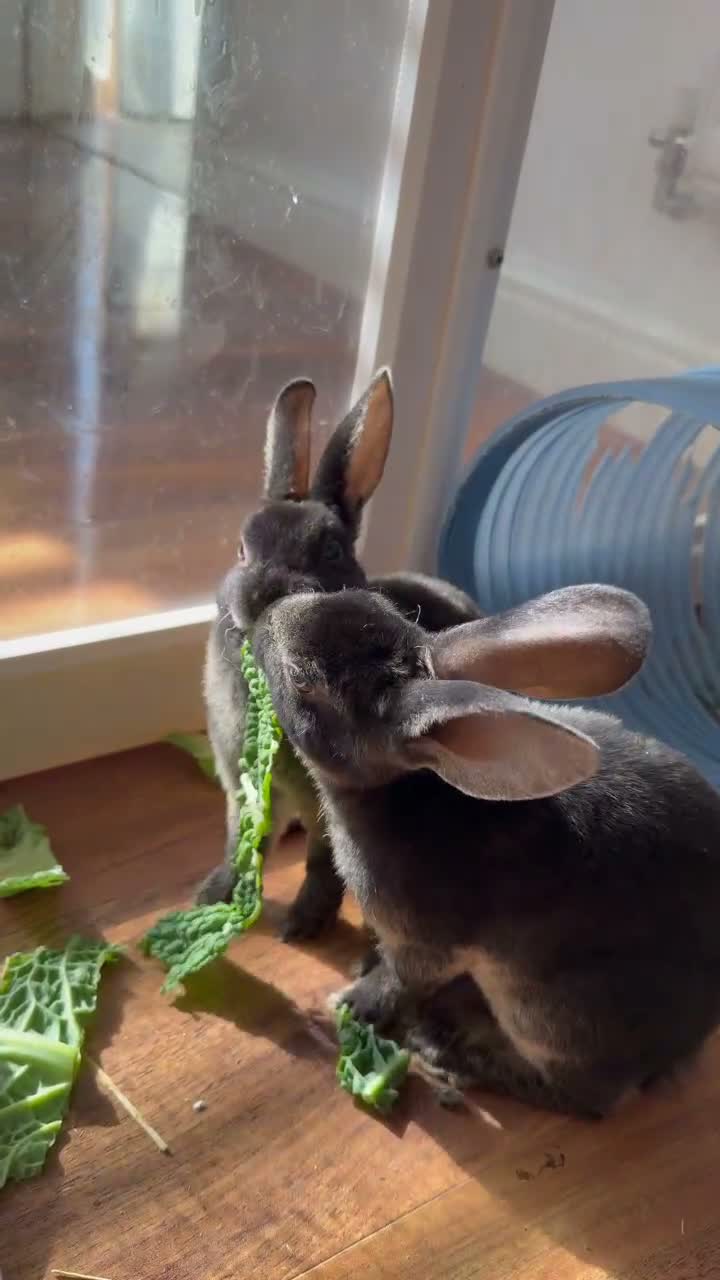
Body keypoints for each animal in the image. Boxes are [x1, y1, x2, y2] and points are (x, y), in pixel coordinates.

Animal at [199, 367, 481, 941]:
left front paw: (302, 925)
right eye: (241, 549)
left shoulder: (326, 812)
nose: (263, 596)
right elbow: (241, 843)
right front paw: (217, 897)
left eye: (329, 550)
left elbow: (321, 866)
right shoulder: (242, 790)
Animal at [253, 582, 720, 1116]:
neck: (404, 788)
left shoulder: (422, 945)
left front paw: (352, 1004)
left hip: (550, 1014)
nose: (264, 616)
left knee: (585, 1098)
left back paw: (447, 1055)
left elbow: (398, 980)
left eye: (301, 679)